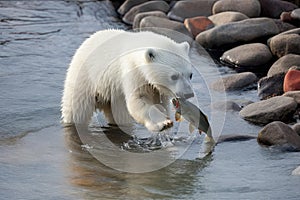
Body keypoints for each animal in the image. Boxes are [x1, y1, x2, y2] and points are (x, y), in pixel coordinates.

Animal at [61, 29, 195, 132]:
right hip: (84, 79)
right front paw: (163, 123)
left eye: (190, 75)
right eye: (174, 76)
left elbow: (161, 103)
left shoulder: (155, 88)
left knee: (119, 116)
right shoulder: (132, 71)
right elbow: (137, 101)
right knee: (77, 110)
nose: (188, 94)